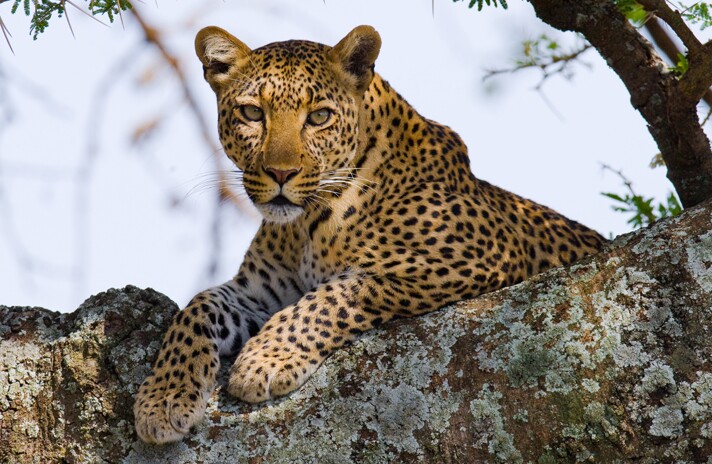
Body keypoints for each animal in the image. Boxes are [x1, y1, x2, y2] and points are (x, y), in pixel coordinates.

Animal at [134, 25, 606, 444]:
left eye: (319, 117)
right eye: (252, 113)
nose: (281, 174)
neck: (306, 226)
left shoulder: (474, 257)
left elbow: (335, 294)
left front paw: (264, 360)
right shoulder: (260, 293)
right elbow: (197, 308)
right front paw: (164, 398)